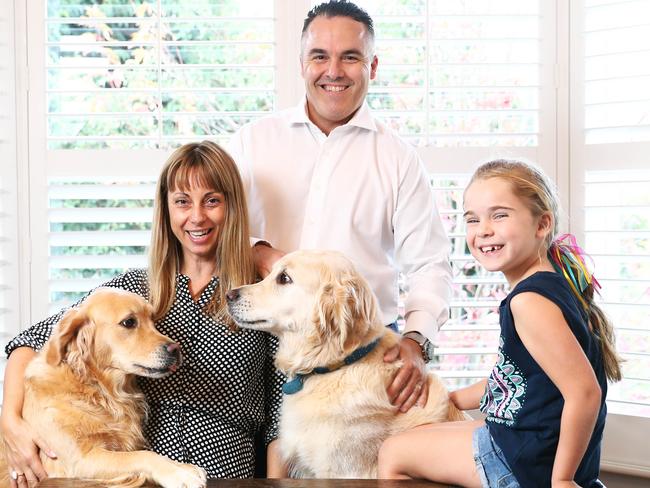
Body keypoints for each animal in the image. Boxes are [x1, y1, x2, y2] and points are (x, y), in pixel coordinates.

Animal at [0, 288, 205, 488]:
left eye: (153, 320)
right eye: (129, 322)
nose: (176, 350)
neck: (98, 389)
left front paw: (182, 467)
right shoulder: (79, 461)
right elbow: (142, 455)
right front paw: (179, 473)